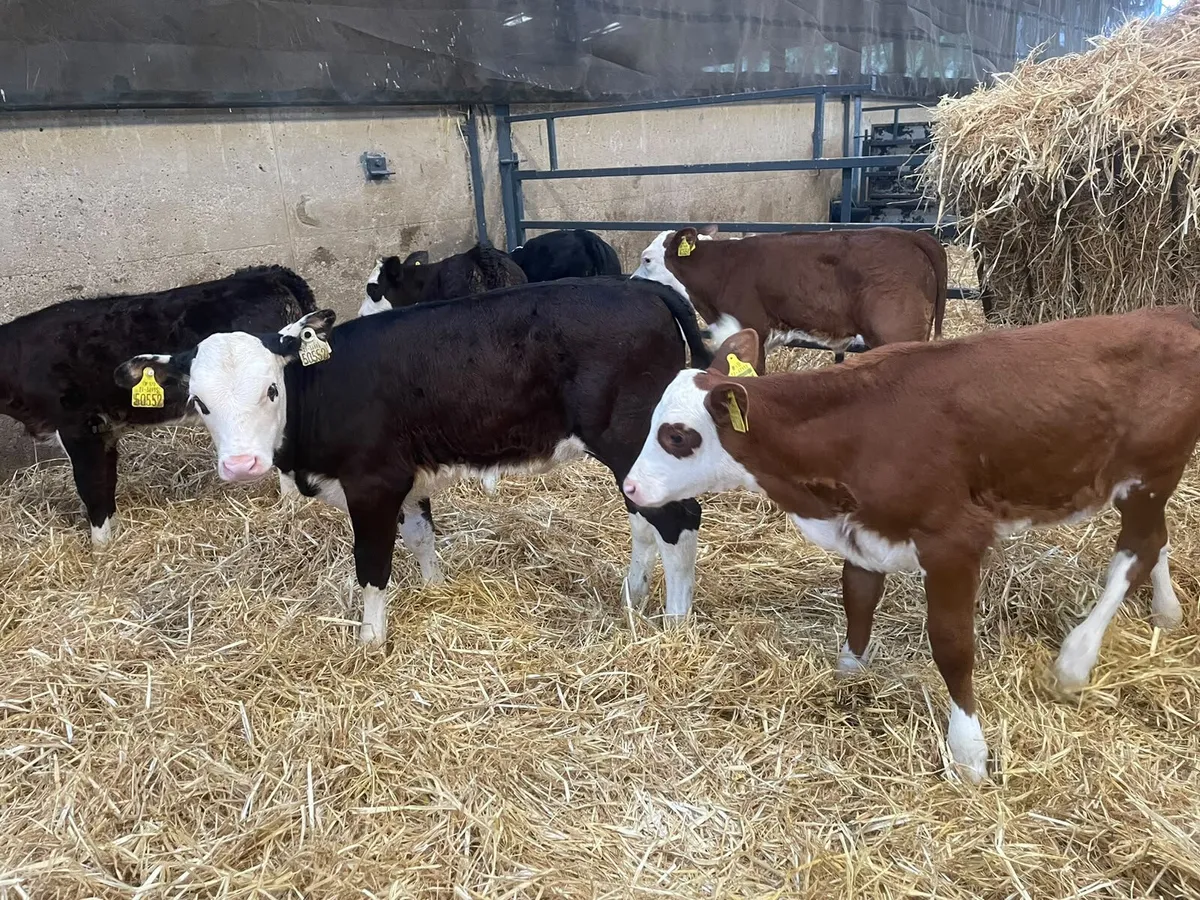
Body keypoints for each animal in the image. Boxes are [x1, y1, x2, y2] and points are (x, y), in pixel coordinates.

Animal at [0, 266, 314, 546]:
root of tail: (268, 274)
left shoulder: (80, 428)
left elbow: (93, 490)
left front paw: (101, 551)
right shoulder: (105, 431)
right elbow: (107, 483)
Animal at [117, 278, 712, 646]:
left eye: (270, 390)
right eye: (200, 402)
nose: (242, 464)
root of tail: (638, 286)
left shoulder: (373, 482)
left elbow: (372, 564)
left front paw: (370, 640)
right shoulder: (407, 480)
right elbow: (422, 537)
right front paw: (435, 590)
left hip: (629, 437)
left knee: (679, 520)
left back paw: (676, 625)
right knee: (644, 520)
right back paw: (634, 595)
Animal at [621, 311, 1199, 783]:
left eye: (678, 436)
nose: (630, 487)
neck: (857, 430)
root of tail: (1169, 314)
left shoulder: (953, 541)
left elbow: (952, 646)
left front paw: (968, 753)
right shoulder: (862, 533)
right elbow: (857, 602)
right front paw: (849, 677)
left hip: (1151, 474)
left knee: (1137, 549)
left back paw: (1075, 660)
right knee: (1157, 539)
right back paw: (1166, 611)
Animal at [631, 226, 948, 370]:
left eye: (647, 259)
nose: (632, 282)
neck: (722, 268)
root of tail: (910, 236)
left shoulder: (751, 329)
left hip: (896, 334)